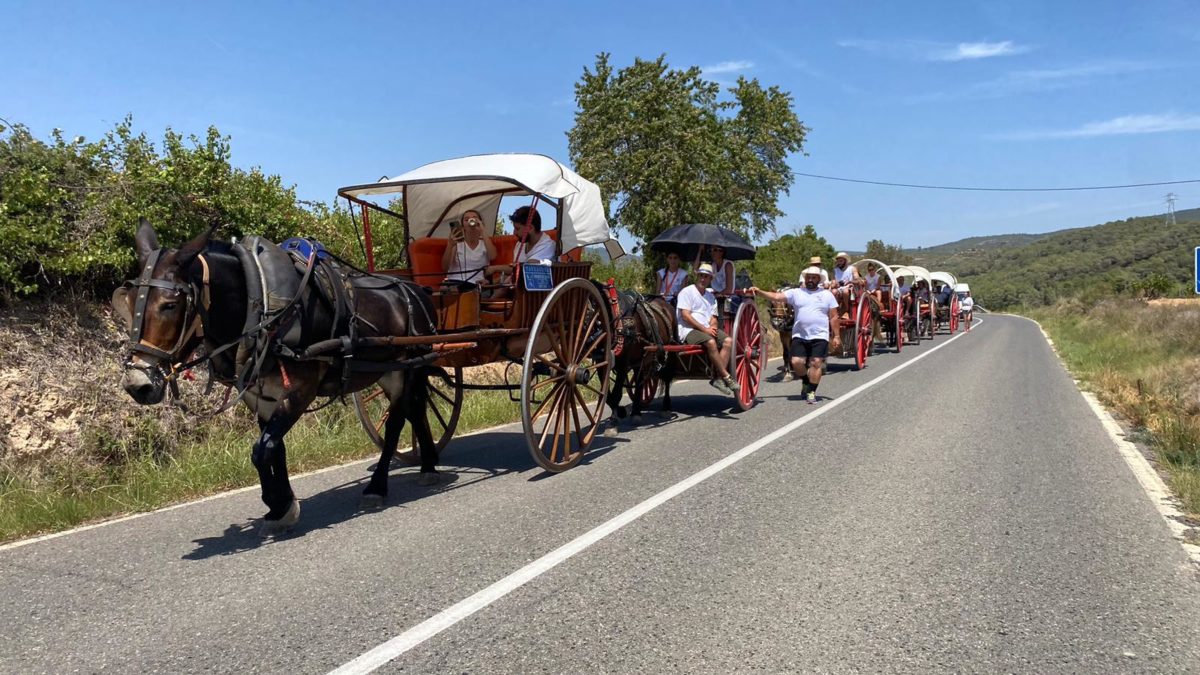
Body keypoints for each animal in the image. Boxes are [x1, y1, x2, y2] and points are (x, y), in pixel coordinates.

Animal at [111, 220, 441, 530]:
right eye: (129, 302)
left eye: (170, 305)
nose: (137, 384)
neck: (261, 304)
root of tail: (416, 291)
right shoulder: (260, 395)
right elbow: (274, 448)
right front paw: (281, 506)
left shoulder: (300, 390)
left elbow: (262, 449)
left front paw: (278, 503)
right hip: (390, 371)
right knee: (415, 410)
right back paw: (428, 464)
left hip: (409, 366)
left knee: (397, 421)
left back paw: (379, 485)